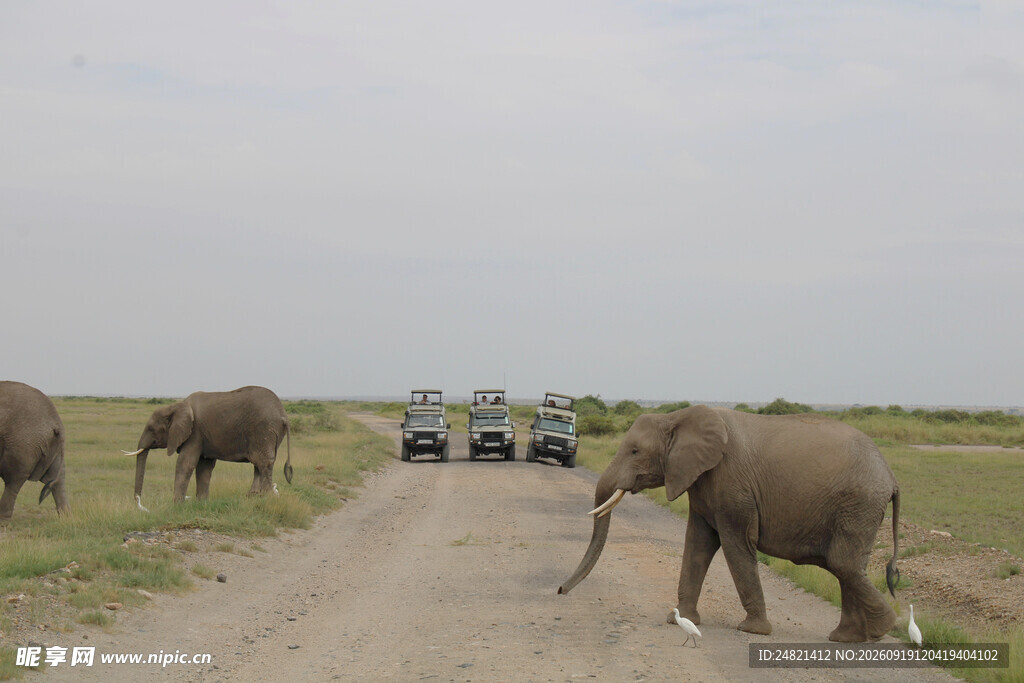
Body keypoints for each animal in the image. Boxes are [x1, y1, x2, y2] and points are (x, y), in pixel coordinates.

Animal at [0, 381, 70, 520]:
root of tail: (57, 423)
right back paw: (66, 518)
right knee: (58, 480)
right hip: (51, 447)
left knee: (13, 479)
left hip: (23, 443)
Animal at [123, 386, 292, 507]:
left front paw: (177, 505)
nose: (138, 502)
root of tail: (283, 415)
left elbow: (185, 463)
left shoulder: (195, 433)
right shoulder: (203, 436)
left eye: (151, 429)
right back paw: (253, 497)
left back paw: (265, 498)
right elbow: (204, 467)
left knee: (263, 463)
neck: (176, 406)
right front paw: (201, 503)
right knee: (259, 464)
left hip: (263, 430)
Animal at [558, 405, 901, 643]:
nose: (560, 590)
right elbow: (697, 544)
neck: (676, 417)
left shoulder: (733, 487)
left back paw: (880, 630)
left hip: (858, 504)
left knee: (842, 563)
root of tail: (891, 476)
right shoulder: (700, 482)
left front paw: (753, 631)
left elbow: (735, 545)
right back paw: (847, 638)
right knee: (846, 566)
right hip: (859, 508)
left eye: (634, 451)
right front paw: (677, 619)